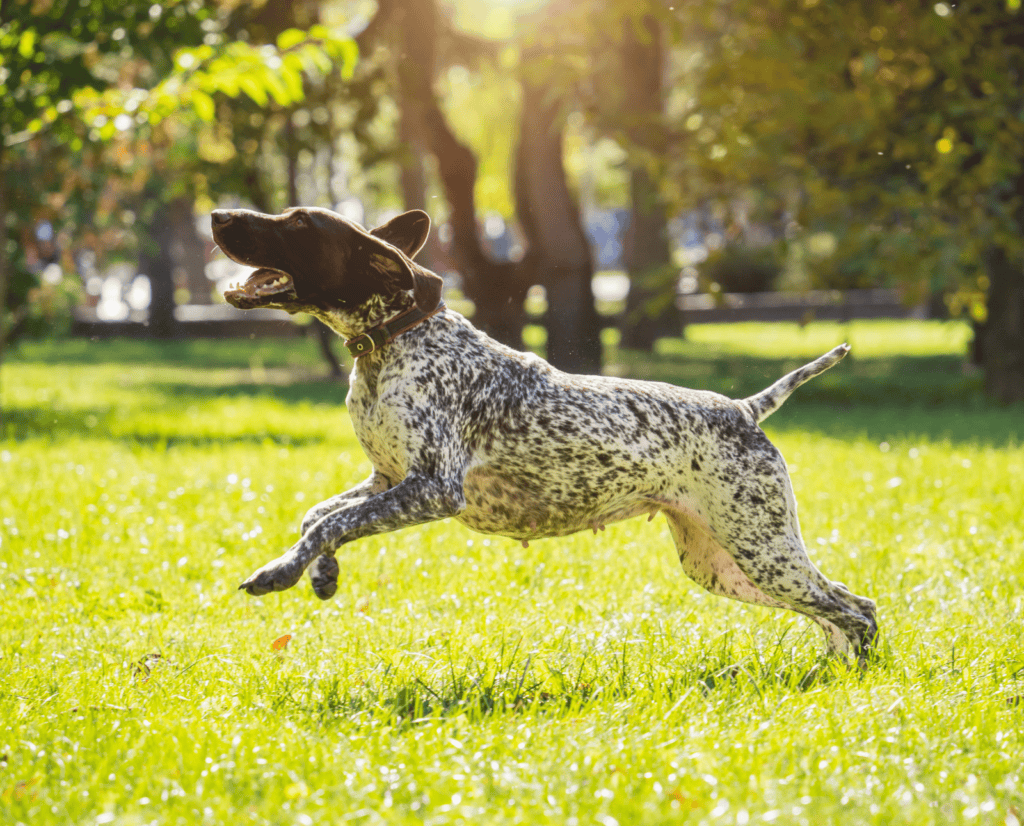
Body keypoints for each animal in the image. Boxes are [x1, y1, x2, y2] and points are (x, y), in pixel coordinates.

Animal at [211, 209, 876, 663]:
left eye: (298, 223)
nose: (218, 215)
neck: (392, 342)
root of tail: (744, 409)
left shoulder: (431, 489)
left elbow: (331, 522)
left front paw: (281, 571)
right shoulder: (388, 479)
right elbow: (319, 516)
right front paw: (320, 572)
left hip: (761, 550)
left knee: (857, 610)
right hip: (723, 562)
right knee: (839, 607)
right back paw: (829, 671)